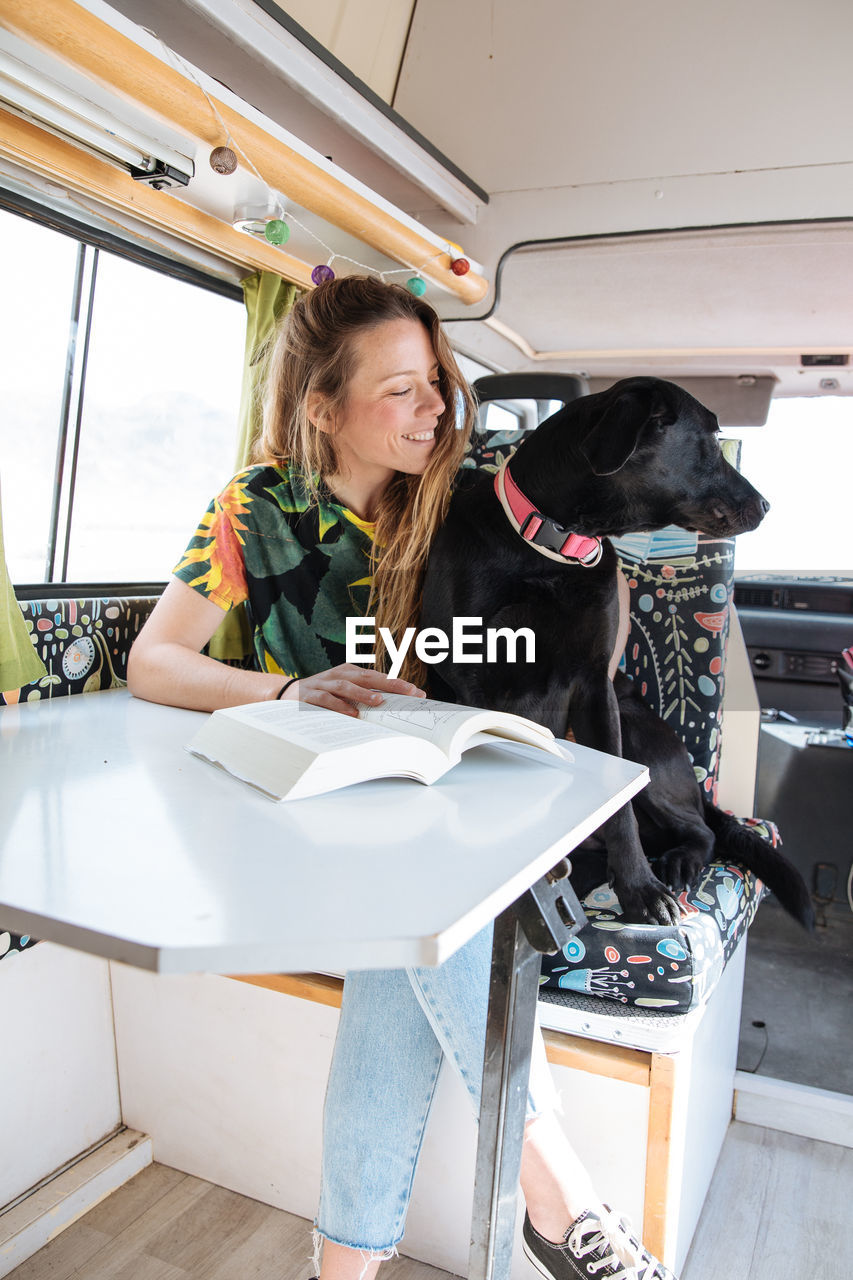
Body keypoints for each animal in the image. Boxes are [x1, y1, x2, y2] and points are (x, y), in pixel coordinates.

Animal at [422, 373, 809, 926]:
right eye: (712, 442)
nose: (767, 505)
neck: (551, 548)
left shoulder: (595, 686)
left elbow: (619, 804)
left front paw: (639, 890)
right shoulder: (469, 685)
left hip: (638, 729)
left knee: (703, 829)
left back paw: (676, 863)